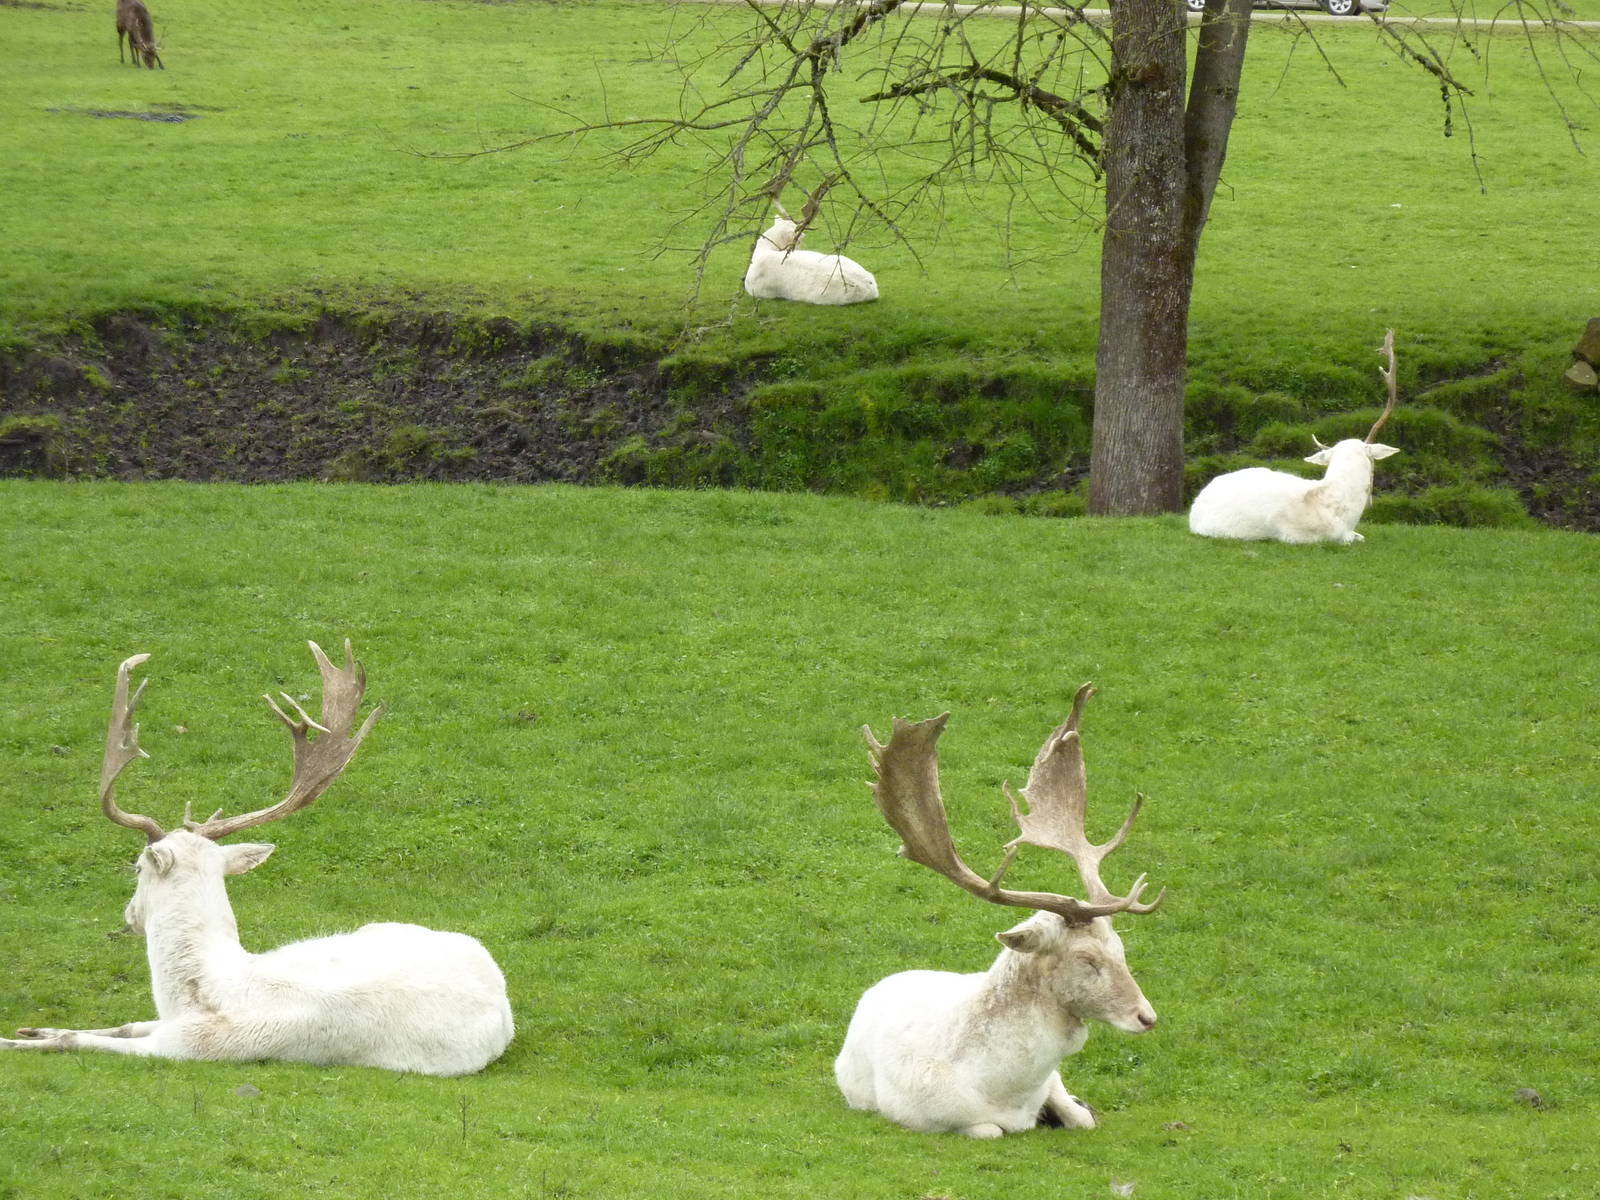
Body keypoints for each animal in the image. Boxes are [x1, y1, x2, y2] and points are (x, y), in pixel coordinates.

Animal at [0, 641, 514, 1077]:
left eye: (136, 866)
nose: (128, 915)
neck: (199, 993)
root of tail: (499, 979)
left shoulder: (194, 1046)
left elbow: (77, 1041)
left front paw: (17, 1042)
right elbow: (124, 1023)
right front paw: (30, 1026)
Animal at [835, 685, 1163, 1138]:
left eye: (1120, 948)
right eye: (1086, 959)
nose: (1147, 1016)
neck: (1005, 1092)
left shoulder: (1053, 1084)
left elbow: (1083, 1119)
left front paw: (1076, 1110)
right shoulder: (922, 1117)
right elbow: (989, 1130)